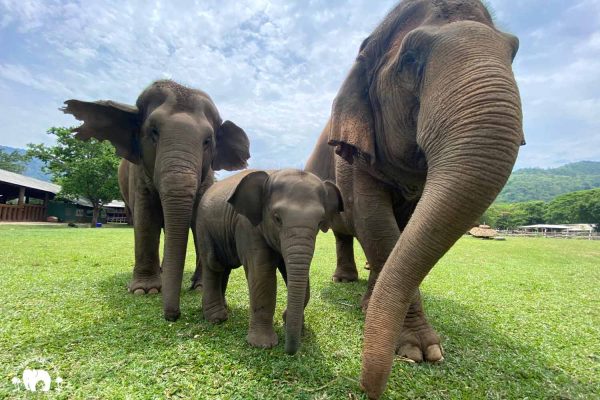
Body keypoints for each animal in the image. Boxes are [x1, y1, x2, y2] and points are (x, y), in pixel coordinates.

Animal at [65, 79, 251, 320]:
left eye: (207, 141)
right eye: (153, 131)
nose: (174, 315)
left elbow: (198, 220)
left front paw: (199, 287)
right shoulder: (139, 174)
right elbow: (146, 219)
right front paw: (145, 290)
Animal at [197, 169, 342, 354]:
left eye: (320, 222)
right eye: (277, 218)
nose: (290, 353)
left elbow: (294, 273)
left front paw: (293, 325)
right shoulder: (247, 226)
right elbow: (262, 273)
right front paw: (262, 345)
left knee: (225, 268)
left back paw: (223, 309)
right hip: (203, 226)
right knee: (213, 264)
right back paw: (216, 318)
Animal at [308, 1, 524, 398]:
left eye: (513, 51)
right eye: (410, 59)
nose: (366, 386)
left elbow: (403, 230)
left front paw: (410, 341)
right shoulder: (351, 157)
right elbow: (376, 222)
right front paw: (416, 351)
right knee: (345, 232)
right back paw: (344, 280)